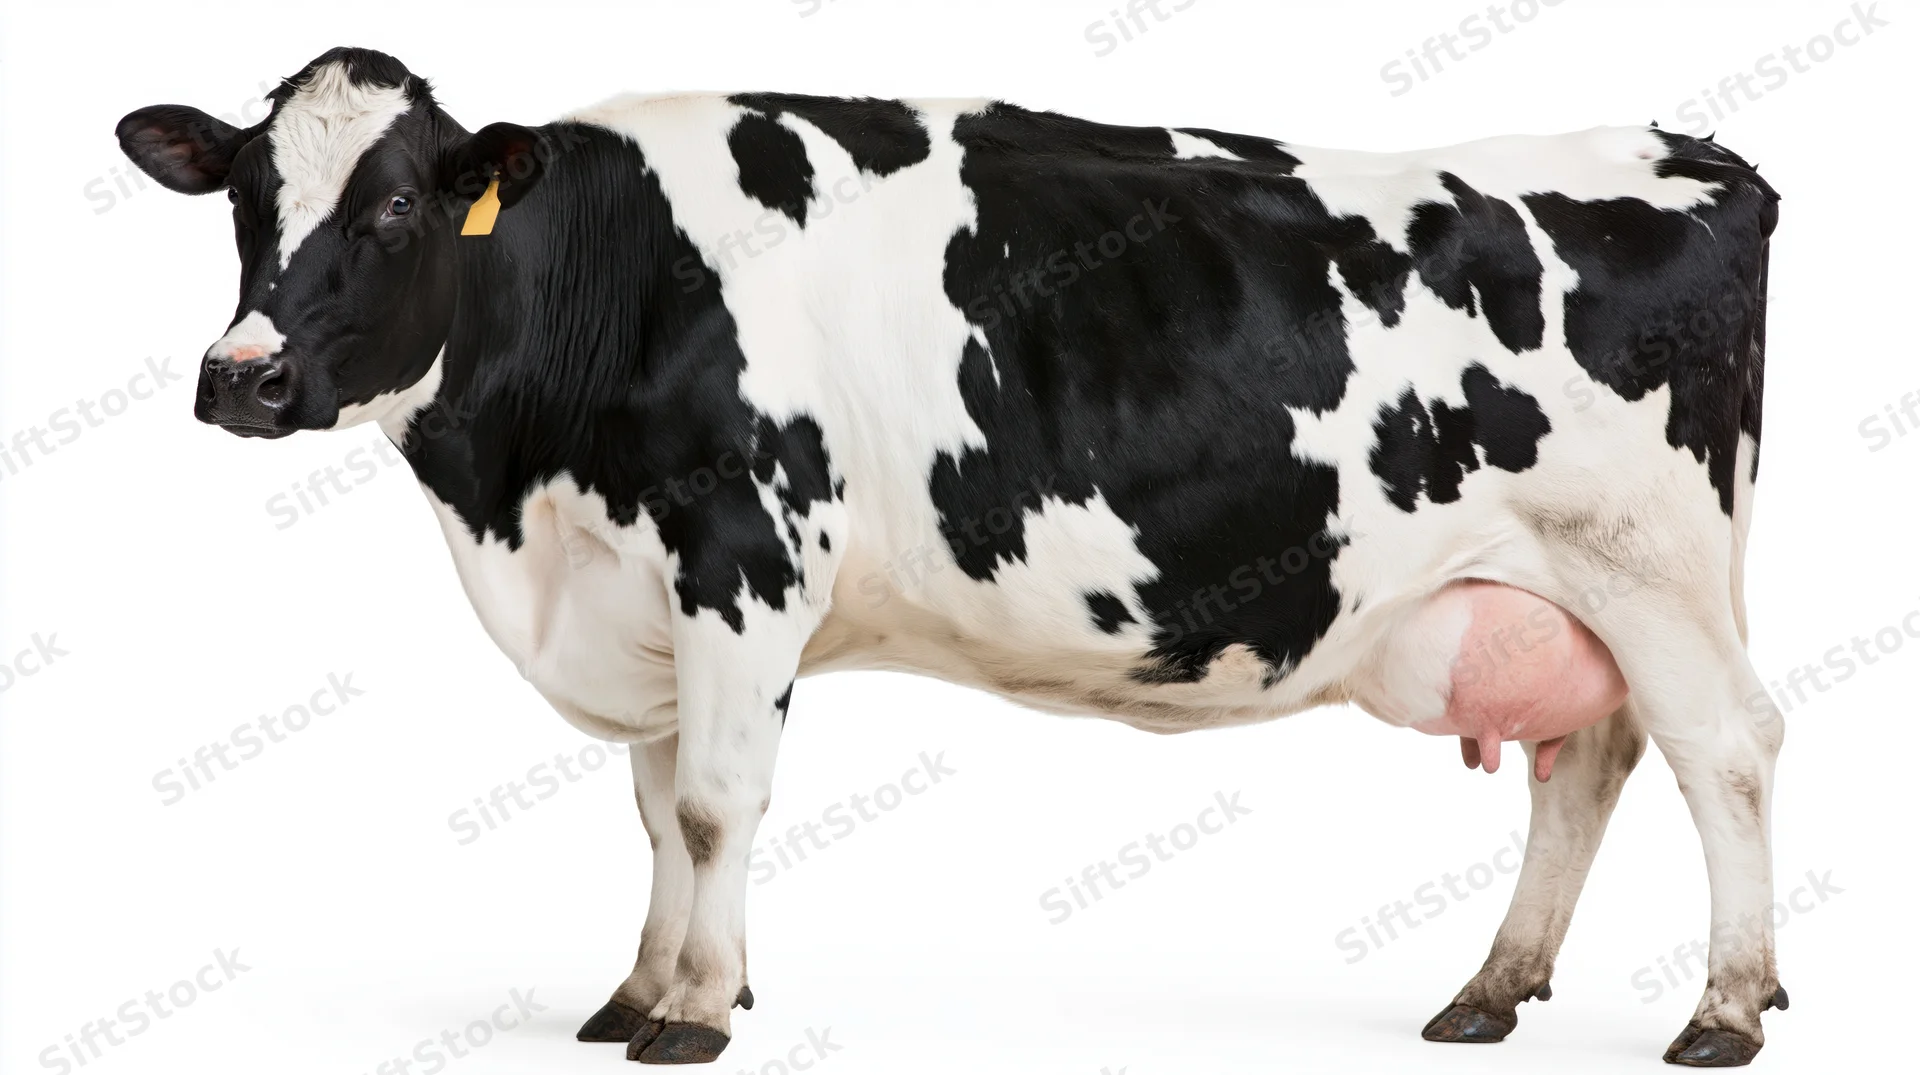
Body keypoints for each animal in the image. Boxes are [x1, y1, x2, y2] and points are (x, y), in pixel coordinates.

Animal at [117, 46, 1784, 1067]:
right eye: (248, 198)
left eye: (397, 201)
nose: (241, 375)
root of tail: (1684, 149)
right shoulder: (642, 589)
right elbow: (657, 815)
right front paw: (640, 983)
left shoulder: (744, 553)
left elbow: (715, 806)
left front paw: (697, 1008)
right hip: (1574, 584)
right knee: (1594, 756)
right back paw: (1492, 988)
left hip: (1648, 560)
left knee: (1726, 746)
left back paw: (1727, 1003)